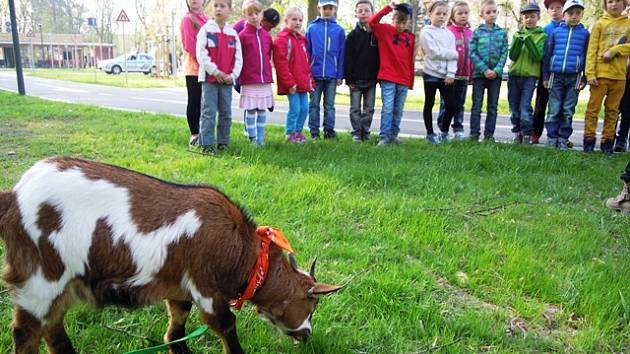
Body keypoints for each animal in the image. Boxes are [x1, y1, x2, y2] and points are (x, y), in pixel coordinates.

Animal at [0, 158, 344, 354]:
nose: (307, 335)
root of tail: (13, 197)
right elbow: (225, 325)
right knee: (26, 332)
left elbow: (177, 324)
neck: (243, 254)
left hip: (60, 286)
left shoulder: (178, 286)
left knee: (52, 329)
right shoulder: (207, 288)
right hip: (42, 279)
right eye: (311, 303)